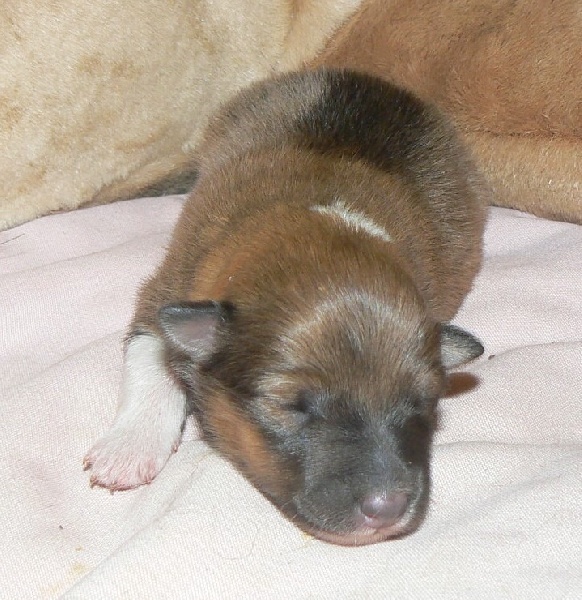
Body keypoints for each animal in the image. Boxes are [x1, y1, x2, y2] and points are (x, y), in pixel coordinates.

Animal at [85, 68, 488, 548]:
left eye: (424, 400)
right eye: (291, 406)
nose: (387, 508)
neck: (315, 220)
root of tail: (364, 77)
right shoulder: (166, 287)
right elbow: (149, 356)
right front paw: (128, 448)